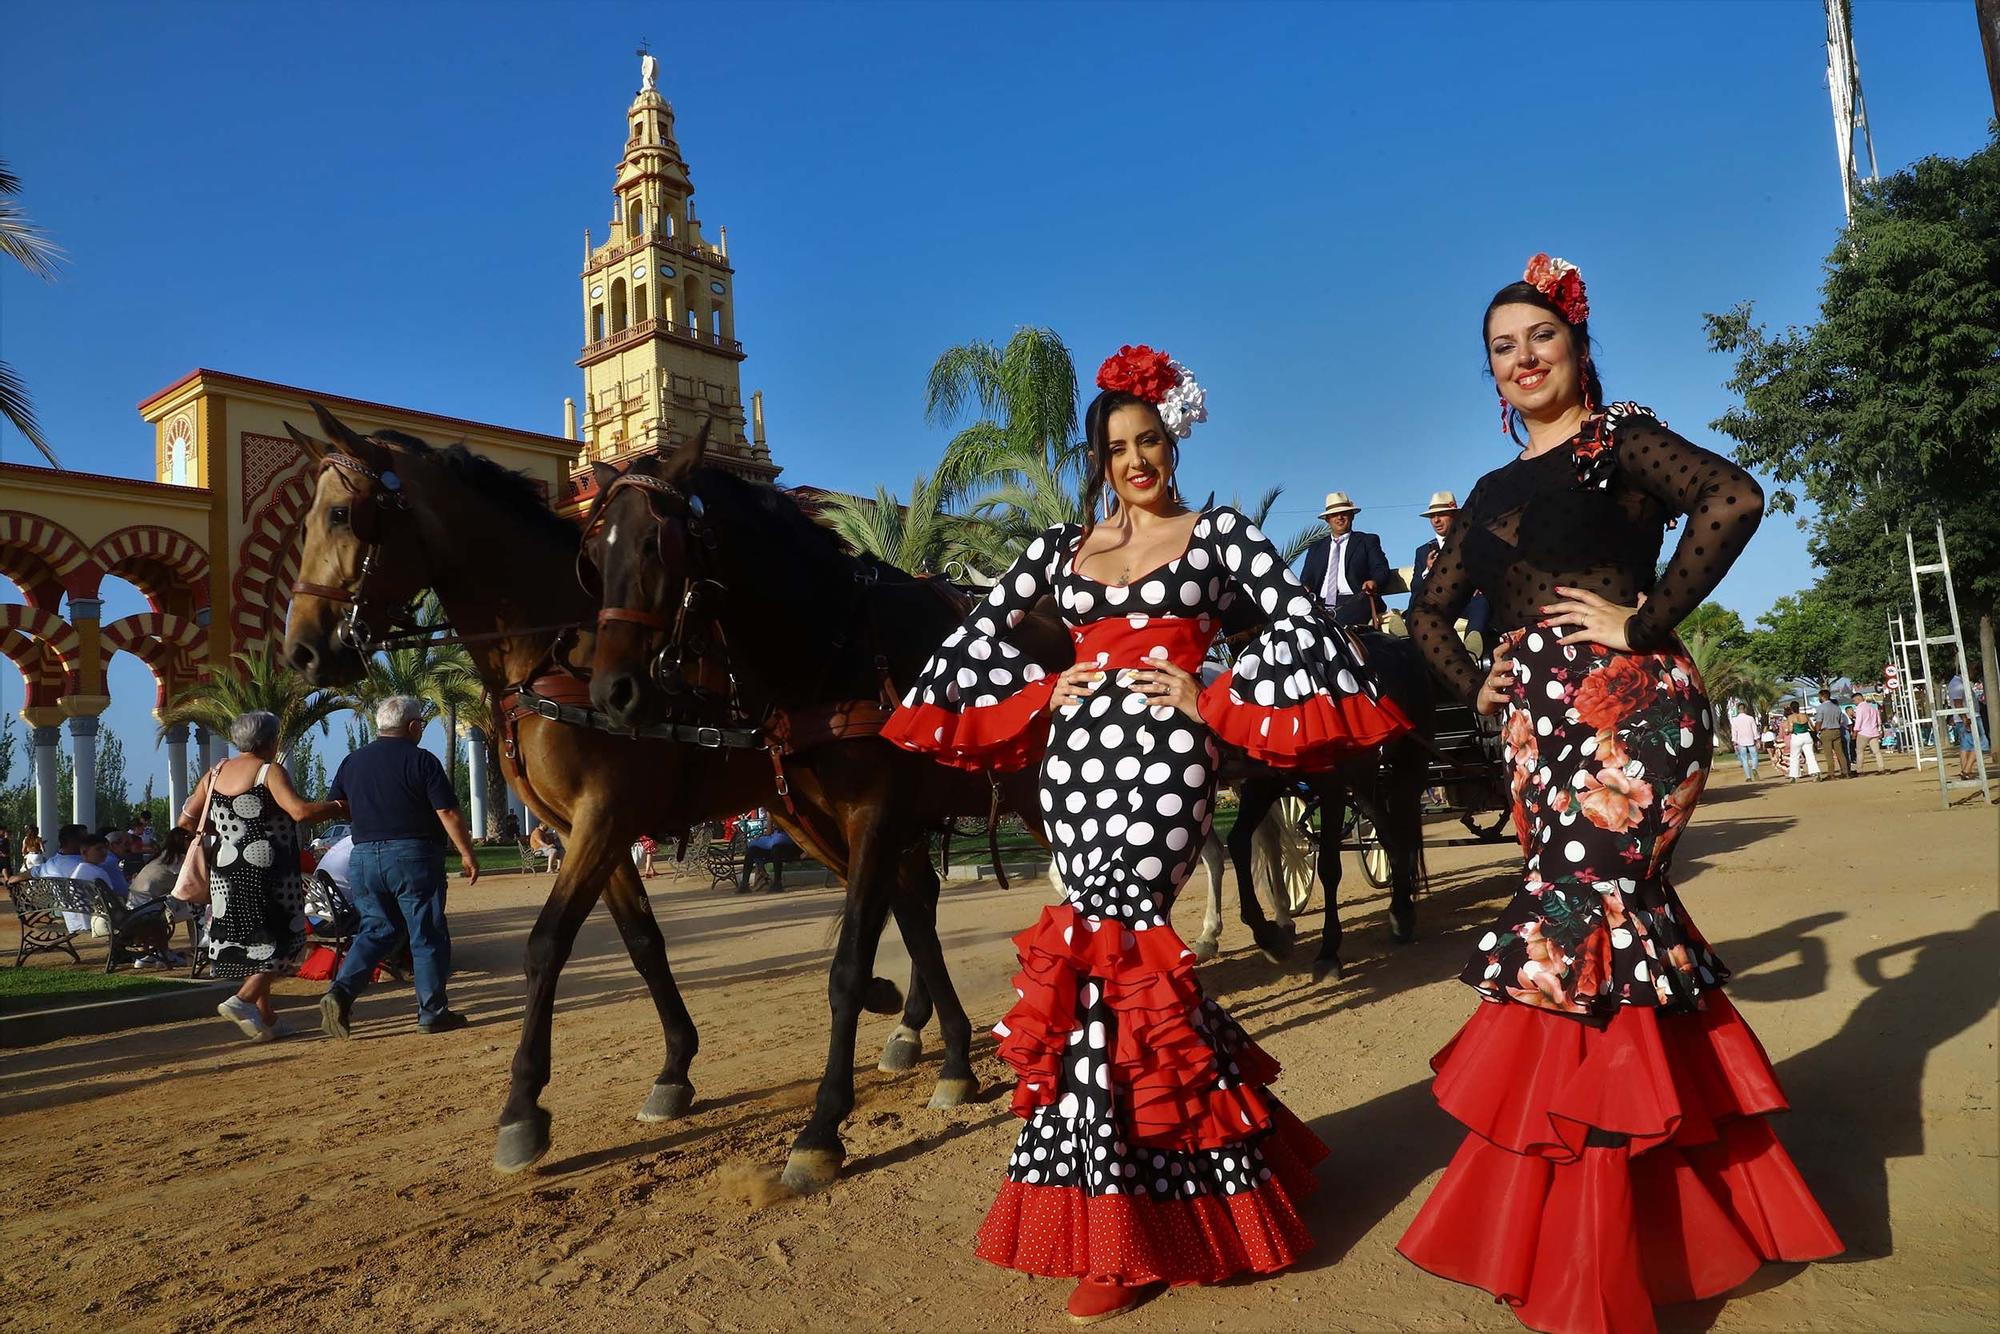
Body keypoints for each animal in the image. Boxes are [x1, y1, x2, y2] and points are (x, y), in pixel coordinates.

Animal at [278, 410, 964, 1176]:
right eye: (306, 522)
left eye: (343, 515)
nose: (302, 650)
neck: (560, 644)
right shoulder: (581, 828)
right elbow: (642, 943)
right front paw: (675, 1068)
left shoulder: (604, 817)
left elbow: (547, 944)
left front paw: (522, 1109)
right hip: (808, 811)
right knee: (910, 891)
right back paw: (908, 1020)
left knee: (908, 891)